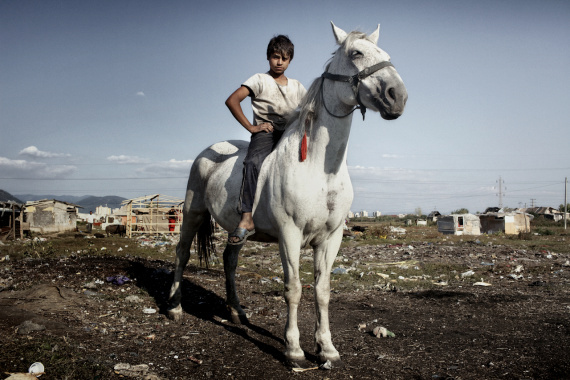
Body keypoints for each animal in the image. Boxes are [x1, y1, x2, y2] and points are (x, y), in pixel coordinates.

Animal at [166, 22, 406, 366]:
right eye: (356, 53)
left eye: (384, 53)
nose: (397, 96)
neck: (321, 169)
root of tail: (208, 151)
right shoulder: (290, 235)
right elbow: (293, 288)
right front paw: (294, 350)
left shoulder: (331, 238)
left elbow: (322, 290)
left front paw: (326, 348)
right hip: (192, 212)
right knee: (182, 253)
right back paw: (174, 308)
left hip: (236, 230)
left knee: (229, 260)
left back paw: (237, 313)